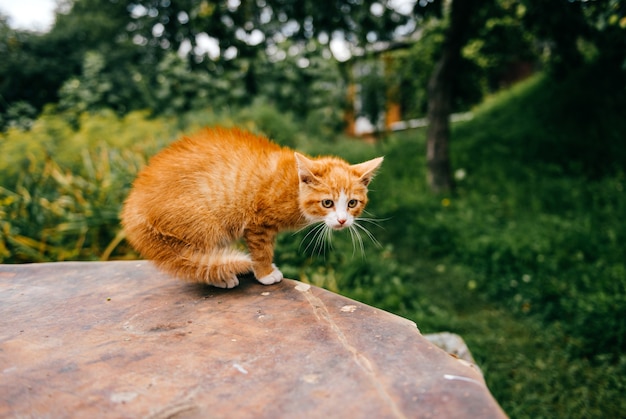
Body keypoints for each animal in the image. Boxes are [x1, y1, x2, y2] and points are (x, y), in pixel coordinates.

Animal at [120, 126, 382, 288]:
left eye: (352, 203)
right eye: (327, 203)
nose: (342, 220)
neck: (292, 185)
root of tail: (133, 209)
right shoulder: (258, 222)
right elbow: (261, 250)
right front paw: (265, 273)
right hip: (203, 222)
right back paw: (221, 278)